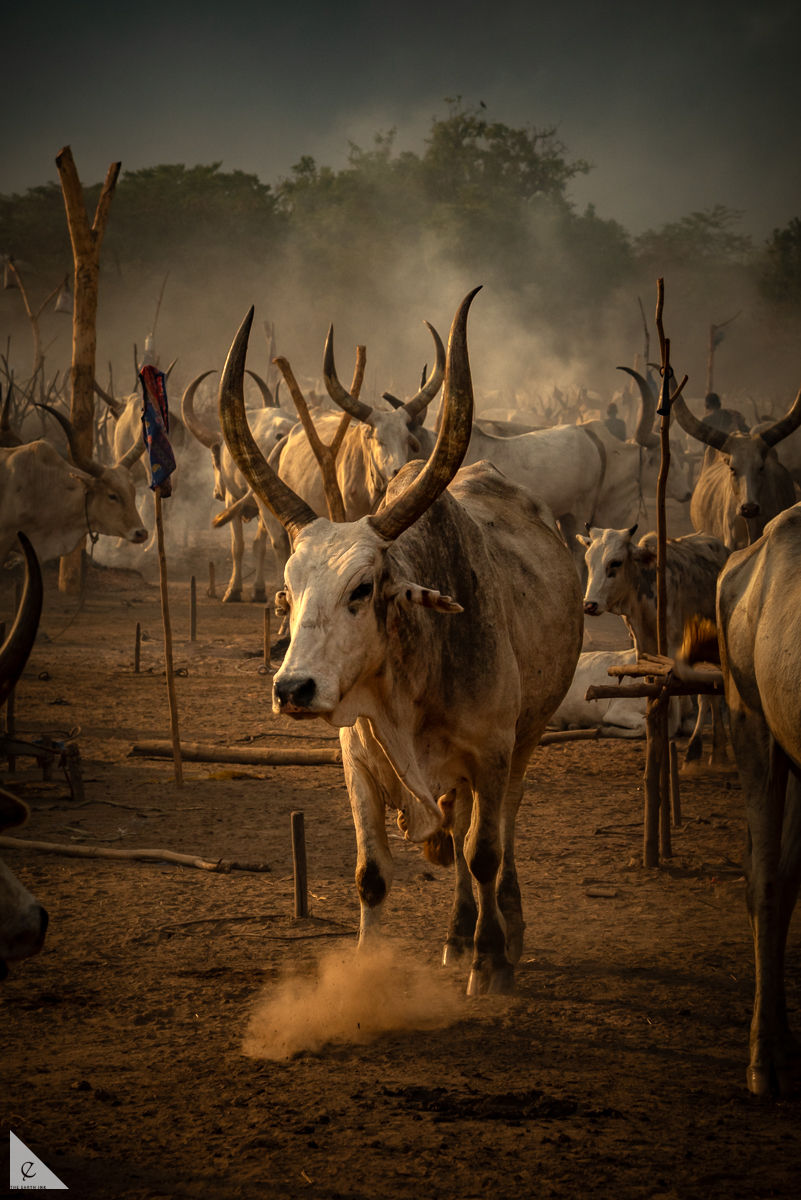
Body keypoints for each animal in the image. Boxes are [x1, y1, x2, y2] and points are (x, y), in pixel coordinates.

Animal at [182, 371, 296, 601]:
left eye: (214, 462)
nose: (216, 492)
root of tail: (284, 431)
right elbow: (258, 545)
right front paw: (258, 590)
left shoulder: (233, 499)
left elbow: (238, 545)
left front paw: (233, 590)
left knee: (277, 542)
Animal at [218, 290, 584, 995]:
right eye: (288, 588)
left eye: (363, 588)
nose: (292, 688)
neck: (405, 694)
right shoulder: (357, 762)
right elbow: (372, 875)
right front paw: (366, 974)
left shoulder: (492, 753)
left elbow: (483, 852)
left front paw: (490, 962)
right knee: (462, 828)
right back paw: (457, 934)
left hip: (526, 739)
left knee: (499, 831)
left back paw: (502, 931)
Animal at [578, 524, 730, 763]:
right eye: (588, 561)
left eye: (615, 562)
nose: (589, 605)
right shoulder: (643, 647)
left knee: (709, 694)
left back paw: (701, 748)